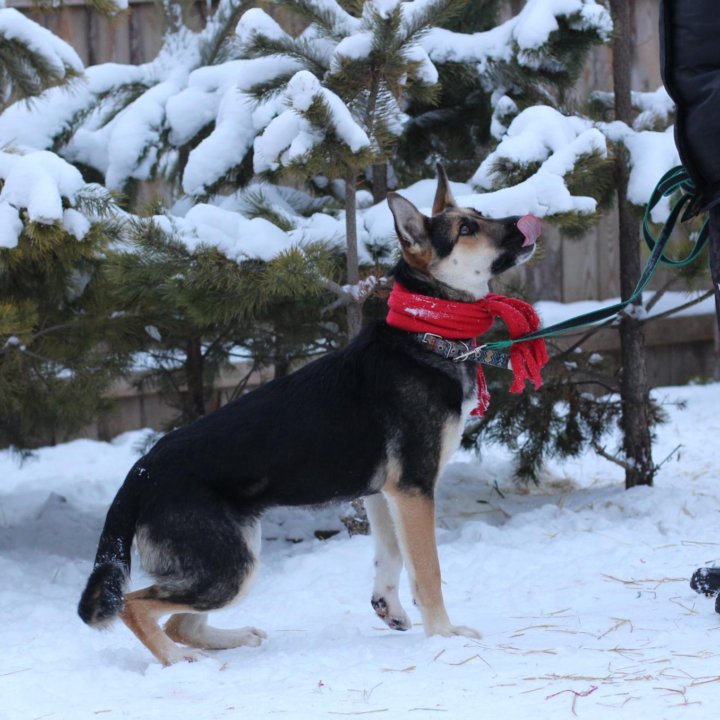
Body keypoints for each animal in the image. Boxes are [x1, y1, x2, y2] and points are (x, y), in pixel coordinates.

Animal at [79, 166, 540, 668]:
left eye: (478, 214)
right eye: (467, 229)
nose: (528, 221)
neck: (426, 331)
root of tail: (140, 472)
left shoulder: (385, 494)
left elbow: (390, 556)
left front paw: (390, 607)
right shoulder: (415, 489)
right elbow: (428, 571)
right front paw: (444, 635)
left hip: (232, 560)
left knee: (182, 623)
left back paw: (232, 640)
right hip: (229, 565)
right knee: (136, 606)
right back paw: (179, 663)